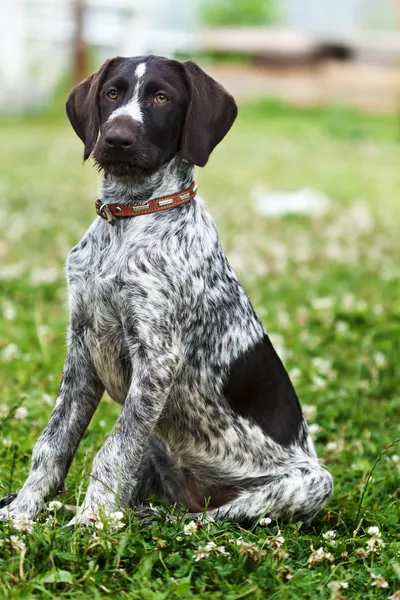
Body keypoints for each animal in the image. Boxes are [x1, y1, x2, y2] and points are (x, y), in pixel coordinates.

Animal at [0, 56, 332, 524]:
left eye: (162, 98)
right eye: (112, 94)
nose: (117, 138)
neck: (130, 216)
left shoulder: (157, 359)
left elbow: (111, 451)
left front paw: (88, 523)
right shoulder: (82, 348)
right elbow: (53, 443)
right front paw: (22, 512)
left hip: (309, 482)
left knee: (207, 519)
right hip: (156, 440)